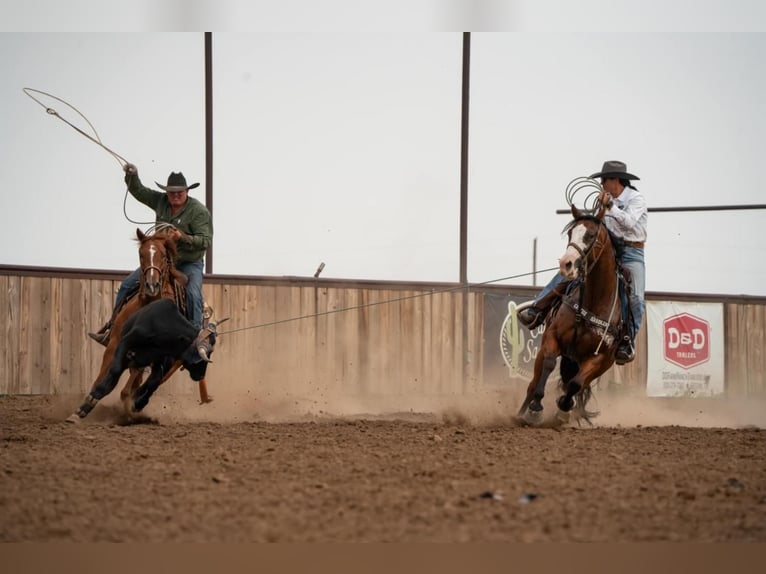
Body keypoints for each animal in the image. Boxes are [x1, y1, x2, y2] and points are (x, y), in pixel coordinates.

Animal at [67, 228, 212, 424]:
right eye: (141, 254)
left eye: (162, 255)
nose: (152, 285)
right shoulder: (115, 345)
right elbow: (105, 376)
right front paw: (83, 408)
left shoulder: (159, 358)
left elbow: (143, 381)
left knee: (144, 383)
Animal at [520, 205, 628, 426]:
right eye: (571, 233)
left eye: (591, 235)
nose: (566, 263)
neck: (593, 301)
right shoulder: (552, 337)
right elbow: (550, 363)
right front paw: (535, 409)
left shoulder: (600, 358)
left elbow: (575, 384)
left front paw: (564, 408)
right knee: (533, 383)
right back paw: (522, 413)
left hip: (602, 364)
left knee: (578, 383)